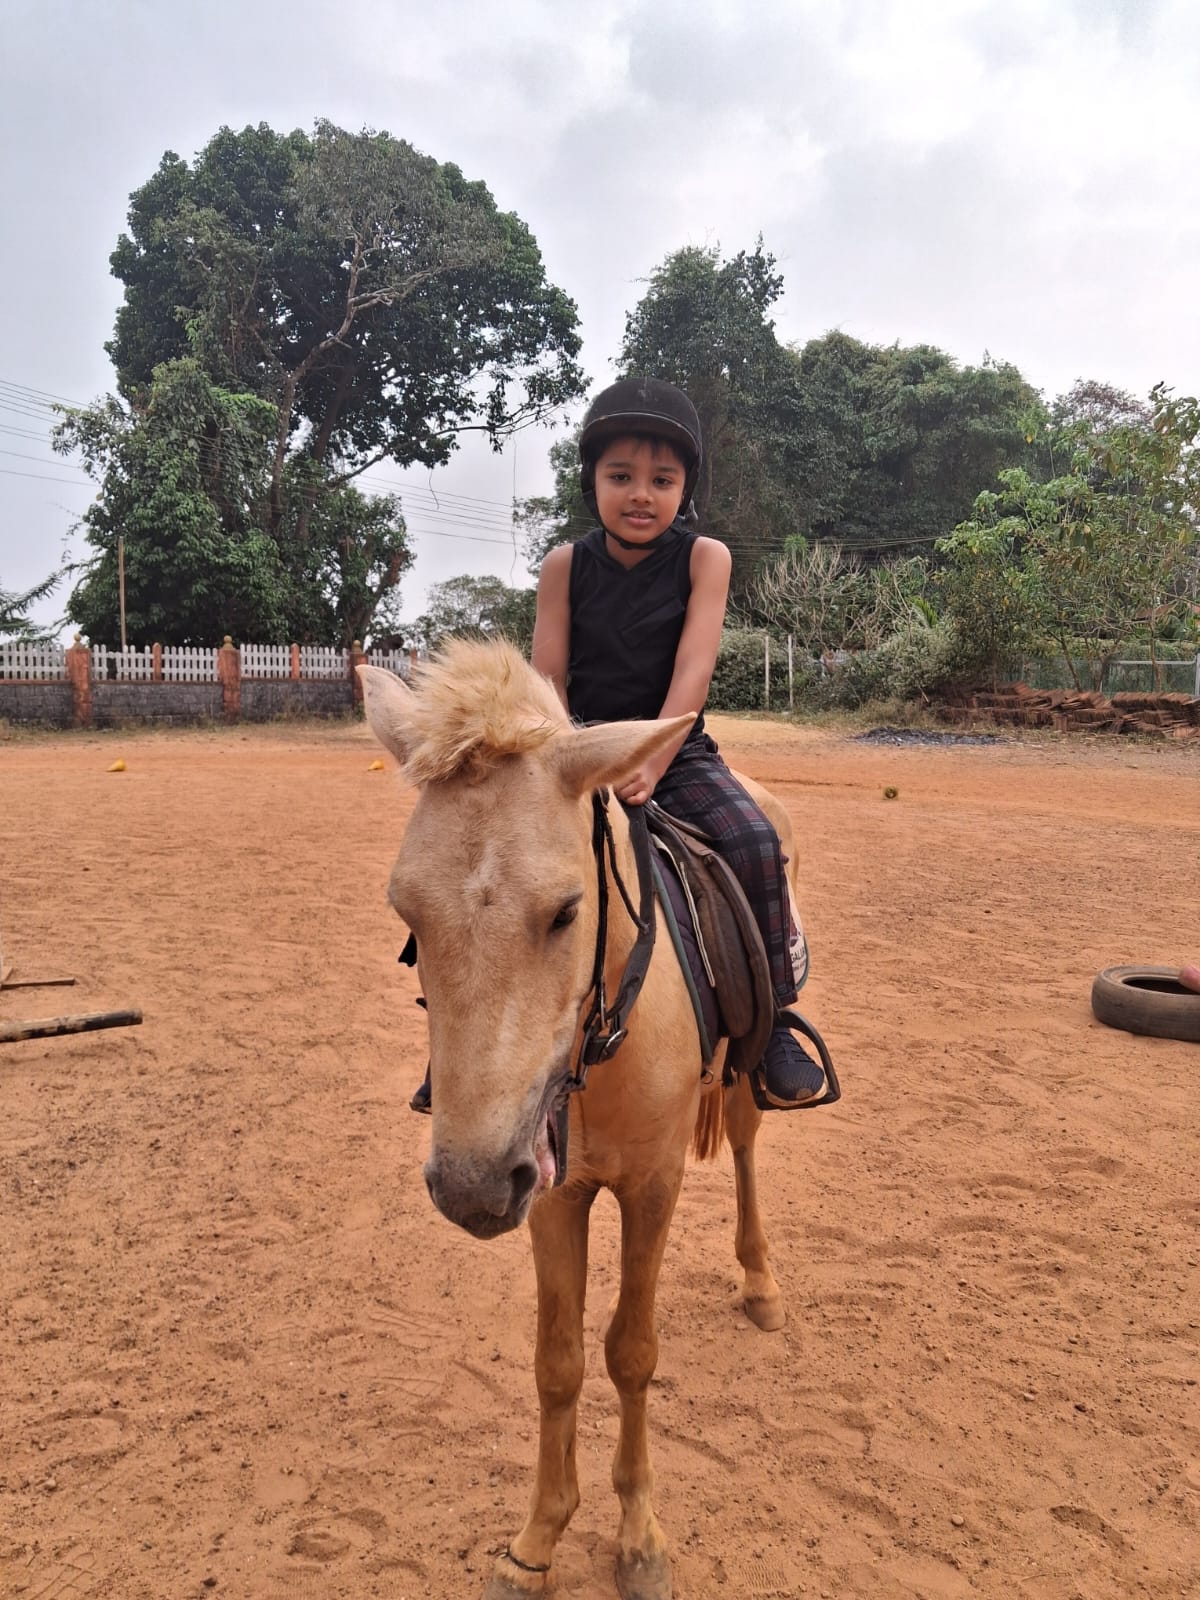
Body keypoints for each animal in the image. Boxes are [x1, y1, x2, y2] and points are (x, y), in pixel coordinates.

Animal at [359, 639, 800, 1600]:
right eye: (406, 915)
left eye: (566, 910)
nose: (471, 1186)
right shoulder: (550, 1195)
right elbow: (557, 1362)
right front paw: (537, 1541)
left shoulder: (651, 1187)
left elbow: (630, 1352)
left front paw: (638, 1541)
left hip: (745, 1076)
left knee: (749, 1149)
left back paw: (759, 1283)